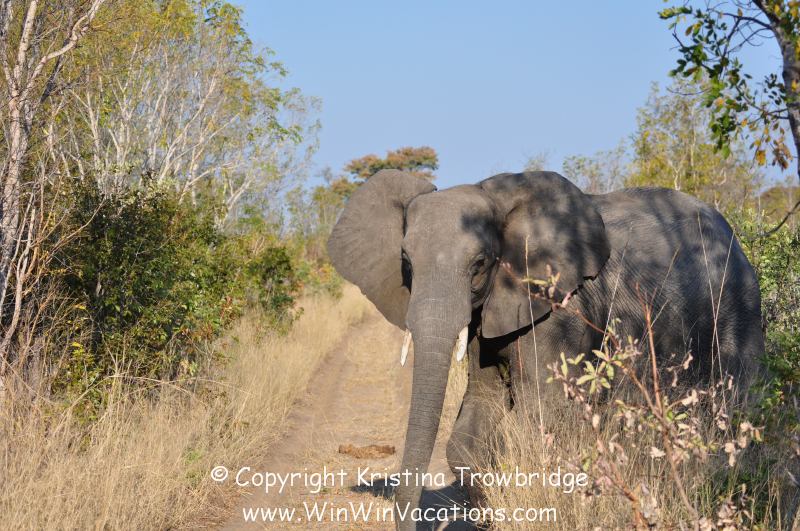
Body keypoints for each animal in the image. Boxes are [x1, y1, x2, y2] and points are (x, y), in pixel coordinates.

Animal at [326, 169, 763, 530]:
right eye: (406, 262)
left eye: (480, 263)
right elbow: (473, 425)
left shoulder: (561, 307)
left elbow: (539, 417)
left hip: (735, 307)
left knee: (729, 411)